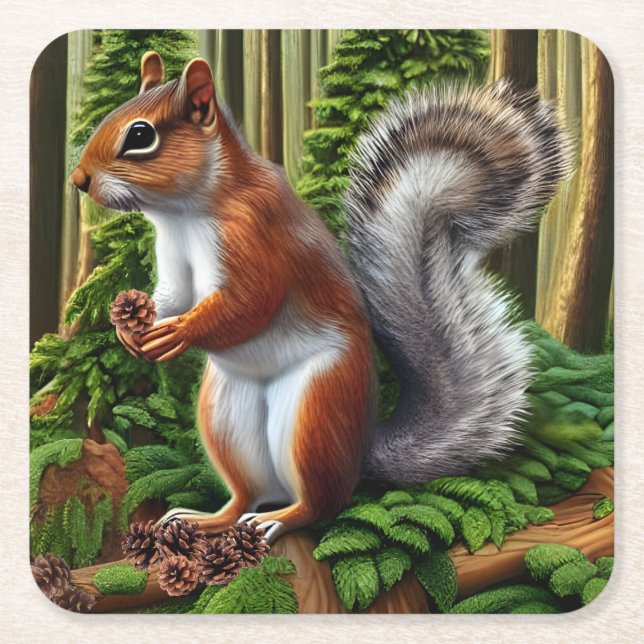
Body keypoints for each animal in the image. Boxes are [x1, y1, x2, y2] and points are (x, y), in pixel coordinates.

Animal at [70, 52, 568, 540]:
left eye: (140, 135)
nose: (78, 179)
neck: (185, 211)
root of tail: (360, 449)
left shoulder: (256, 235)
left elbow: (250, 302)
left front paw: (181, 333)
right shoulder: (173, 258)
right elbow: (172, 295)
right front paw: (128, 328)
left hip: (317, 409)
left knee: (320, 502)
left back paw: (278, 519)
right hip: (225, 414)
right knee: (247, 494)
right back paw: (206, 519)